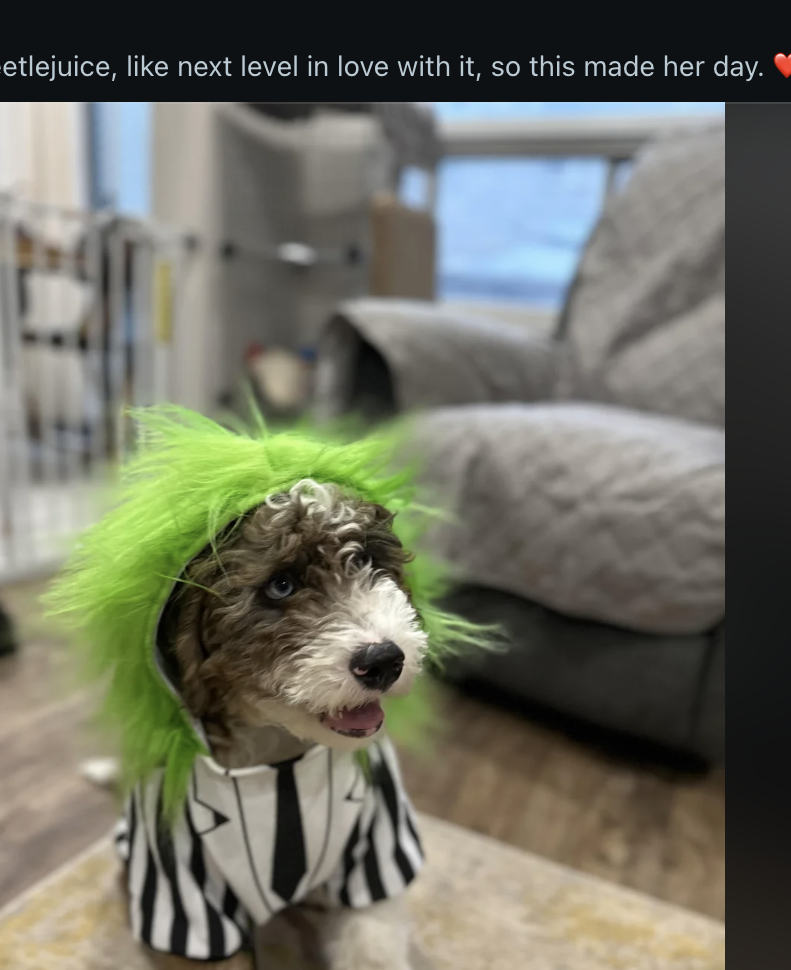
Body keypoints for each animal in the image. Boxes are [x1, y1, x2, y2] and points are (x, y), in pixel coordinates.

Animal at [113, 478, 426, 968]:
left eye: (364, 560)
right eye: (281, 585)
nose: (383, 661)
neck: (278, 759)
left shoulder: (380, 840)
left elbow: (371, 943)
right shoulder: (180, 883)